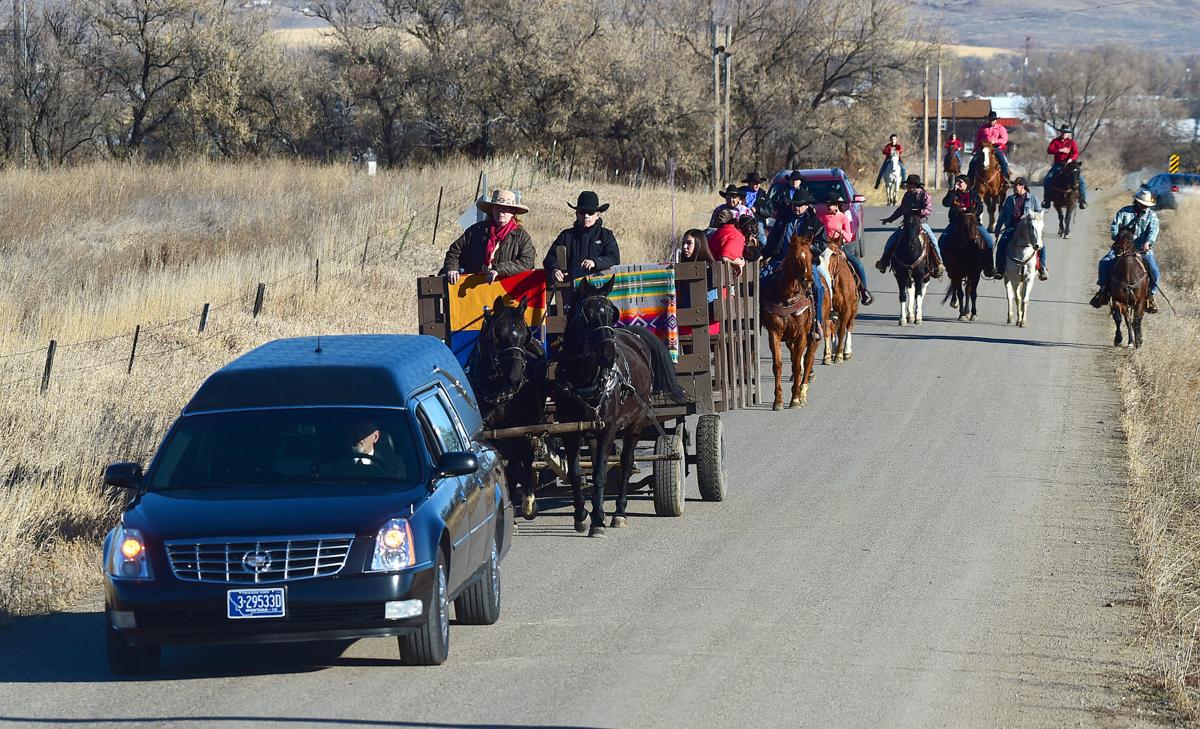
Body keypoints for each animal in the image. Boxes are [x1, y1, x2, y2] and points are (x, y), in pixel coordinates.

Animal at [468, 294, 549, 517]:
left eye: (524, 335)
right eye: (496, 336)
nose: (515, 379)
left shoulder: (519, 429)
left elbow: (516, 463)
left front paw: (525, 501)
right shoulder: (490, 433)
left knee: (524, 457)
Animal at [554, 273, 686, 534]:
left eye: (610, 313)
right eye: (587, 315)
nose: (608, 354)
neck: (585, 377)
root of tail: (633, 335)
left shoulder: (609, 428)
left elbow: (601, 474)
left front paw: (598, 520)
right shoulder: (570, 430)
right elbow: (576, 472)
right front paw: (581, 514)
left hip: (635, 424)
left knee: (625, 463)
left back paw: (619, 512)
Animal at [763, 229, 820, 410]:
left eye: (810, 254)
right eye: (795, 256)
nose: (807, 280)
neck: (787, 296)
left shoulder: (802, 335)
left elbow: (796, 365)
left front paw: (794, 399)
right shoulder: (774, 333)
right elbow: (778, 365)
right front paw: (778, 400)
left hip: (812, 335)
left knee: (807, 360)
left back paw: (802, 392)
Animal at [820, 236, 859, 364]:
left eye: (834, 254)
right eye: (821, 254)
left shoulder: (846, 310)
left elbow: (842, 330)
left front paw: (839, 355)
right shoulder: (827, 311)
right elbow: (828, 331)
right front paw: (827, 355)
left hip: (853, 310)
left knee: (849, 326)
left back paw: (846, 351)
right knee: (834, 328)